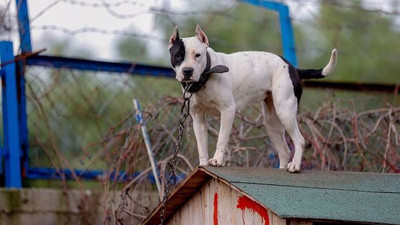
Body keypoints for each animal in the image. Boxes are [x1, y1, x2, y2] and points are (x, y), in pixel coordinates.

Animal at [167, 25, 336, 172]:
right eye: (178, 56)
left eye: (198, 55)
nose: (187, 71)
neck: (206, 76)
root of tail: (291, 66)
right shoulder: (198, 118)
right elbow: (201, 145)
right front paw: (202, 165)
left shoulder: (227, 111)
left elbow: (221, 139)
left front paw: (217, 160)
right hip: (272, 122)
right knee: (284, 150)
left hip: (285, 111)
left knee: (299, 140)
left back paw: (295, 165)